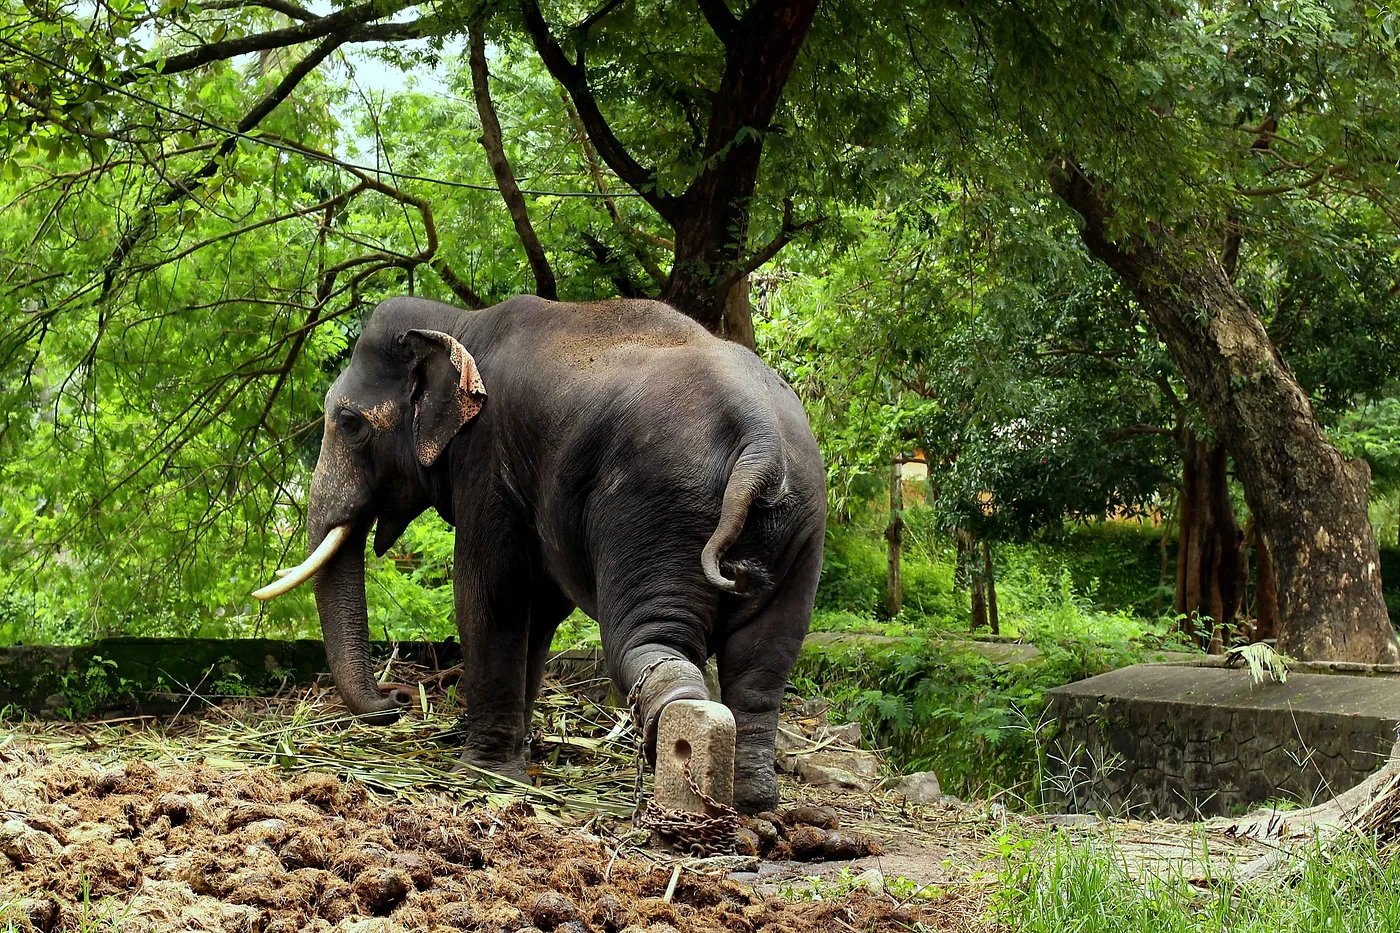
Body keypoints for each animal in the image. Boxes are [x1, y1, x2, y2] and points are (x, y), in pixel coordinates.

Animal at [255, 295, 825, 813]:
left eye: (350, 423)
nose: (397, 699)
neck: (459, 321)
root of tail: (759, 438)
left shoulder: (488, 458)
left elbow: (490, 591)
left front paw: (481, 773)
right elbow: (542, 607)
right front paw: (517, 762)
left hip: (658, 506)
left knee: (643, 644)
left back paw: (686, 784)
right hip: (799, 525)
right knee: (761, 664)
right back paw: (752, 803)